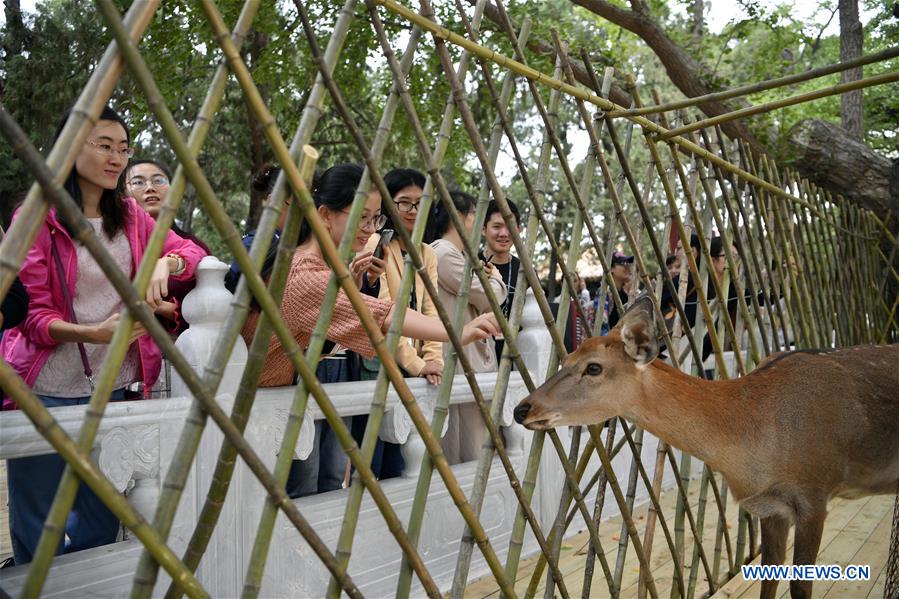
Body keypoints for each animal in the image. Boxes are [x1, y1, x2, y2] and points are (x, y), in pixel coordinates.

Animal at [513, 296, 899, 599]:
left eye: (593, 367)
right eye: (564, 360)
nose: (522, 409)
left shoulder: (814, 496)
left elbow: (800, 586)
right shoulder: (771, 507)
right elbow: (769, 583)